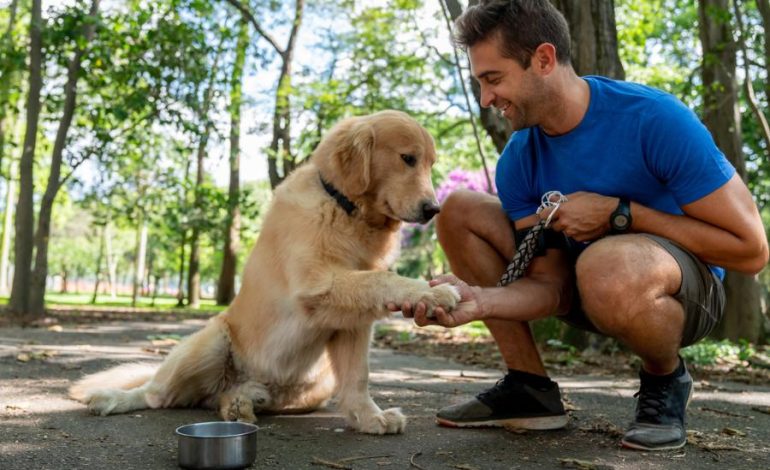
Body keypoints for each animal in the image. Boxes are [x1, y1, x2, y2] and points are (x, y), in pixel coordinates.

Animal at [67, 109, 456, 434]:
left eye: (431, 164)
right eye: (408, 159)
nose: (434, 209)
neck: (347, 210)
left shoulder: (352, 323)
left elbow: (358, 376)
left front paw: (369, 417)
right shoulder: (315, 286)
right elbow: (381, 278)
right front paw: (432, 291)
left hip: (313, 385)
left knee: (224, 399)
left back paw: (241, 402)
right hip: (210, 342)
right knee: (155, 394)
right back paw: (112, 398)